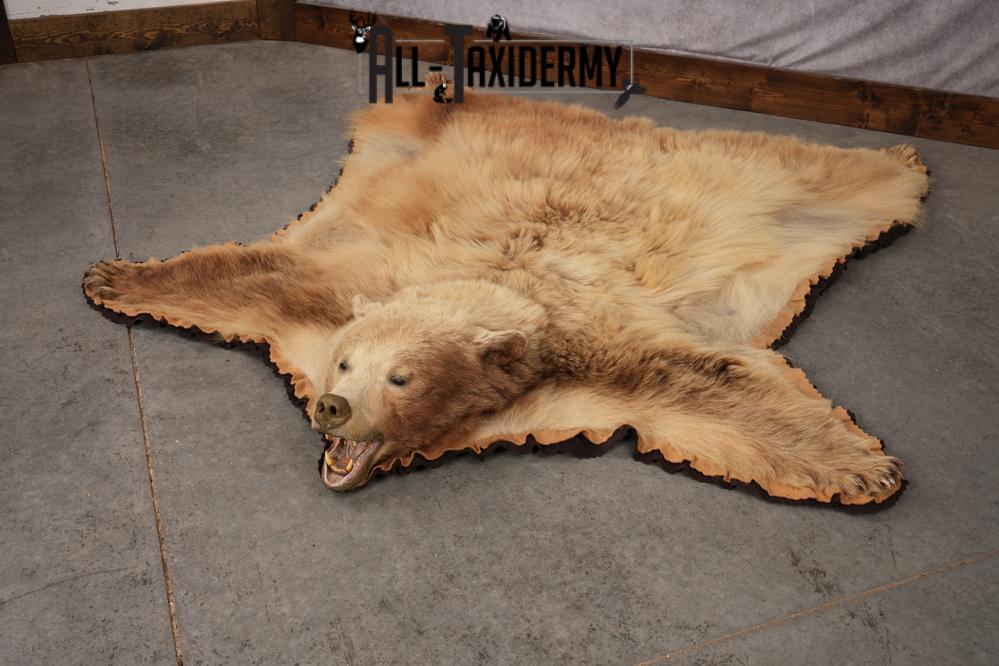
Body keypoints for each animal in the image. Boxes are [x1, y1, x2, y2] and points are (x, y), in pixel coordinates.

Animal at [83, 86, 930, 504]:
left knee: (822, 172)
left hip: (750, 179)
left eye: (401, 378)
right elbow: (257, 274)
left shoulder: (593, 344)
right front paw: (114, 277)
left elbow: (703, 379)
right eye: (344, 364)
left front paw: (867, 469)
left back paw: (905, 157)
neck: (503, 287)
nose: (332, 407)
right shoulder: (351, 282)